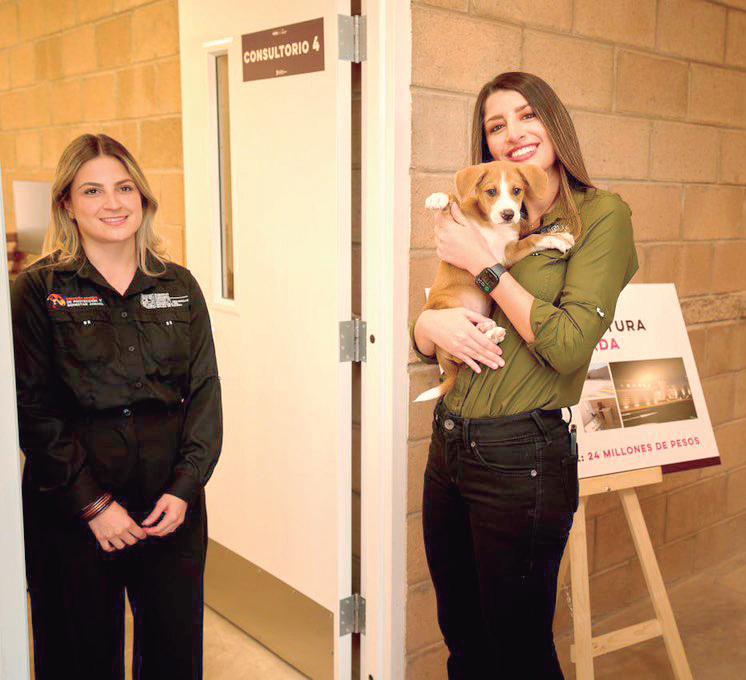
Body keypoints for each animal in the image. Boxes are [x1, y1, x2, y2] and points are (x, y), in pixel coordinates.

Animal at [414, 160, 575, 403]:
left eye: (517, 191)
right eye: (491, 192)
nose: (508, 214)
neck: (491, 225)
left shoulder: (508, 251)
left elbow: (532, 237)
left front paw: (558, 237)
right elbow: (454, 199)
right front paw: (438, 198)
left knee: (465, 354)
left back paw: (490, 331)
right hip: (447, 305)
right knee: (461, 354)